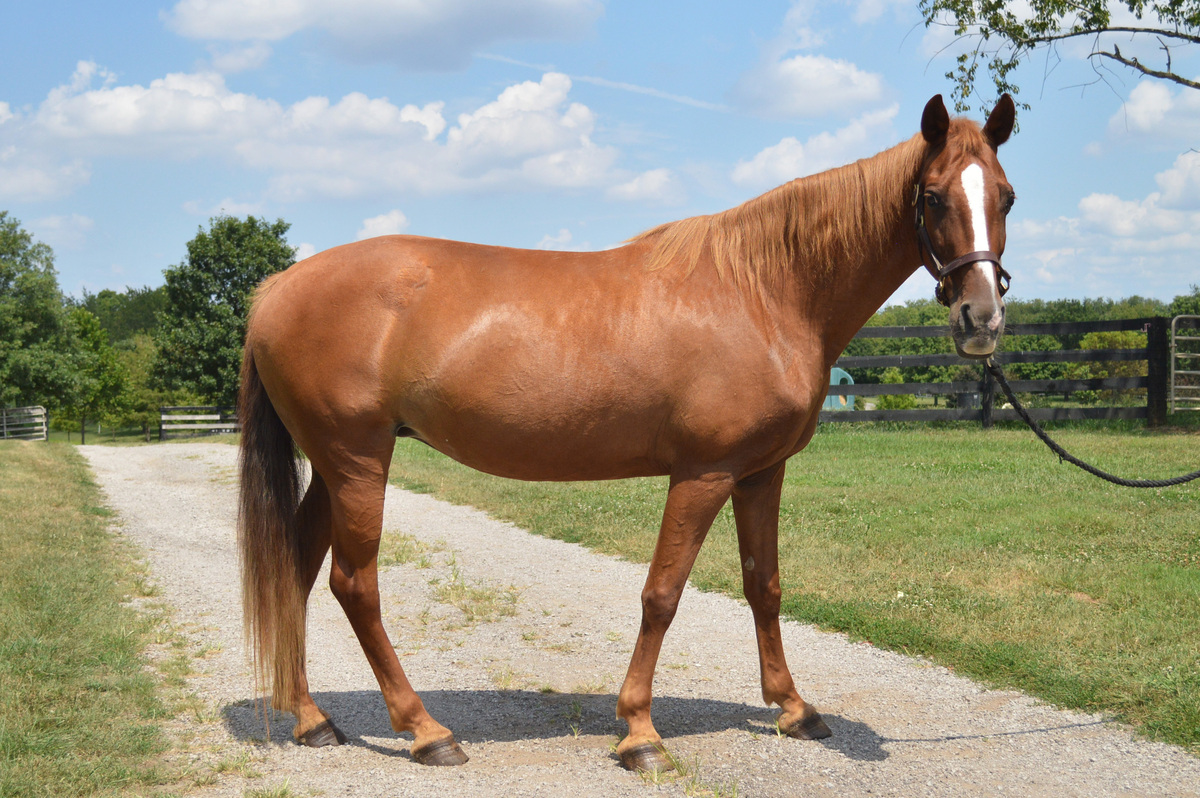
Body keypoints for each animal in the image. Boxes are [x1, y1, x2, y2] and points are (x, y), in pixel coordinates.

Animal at [237, 93, 1016, 772]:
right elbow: (662, 595)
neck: (762, 293)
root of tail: (276, 287)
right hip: (358, 461)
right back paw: (427, 731)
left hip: (334, 466)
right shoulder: (704, 473)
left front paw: (794, 708)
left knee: (296, 570)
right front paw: (640, 733)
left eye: (1005, 197)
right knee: (353, 584)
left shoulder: (761, 473)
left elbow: (763, 584)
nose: (981, 319)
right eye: (933, 196)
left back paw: (312, 720)